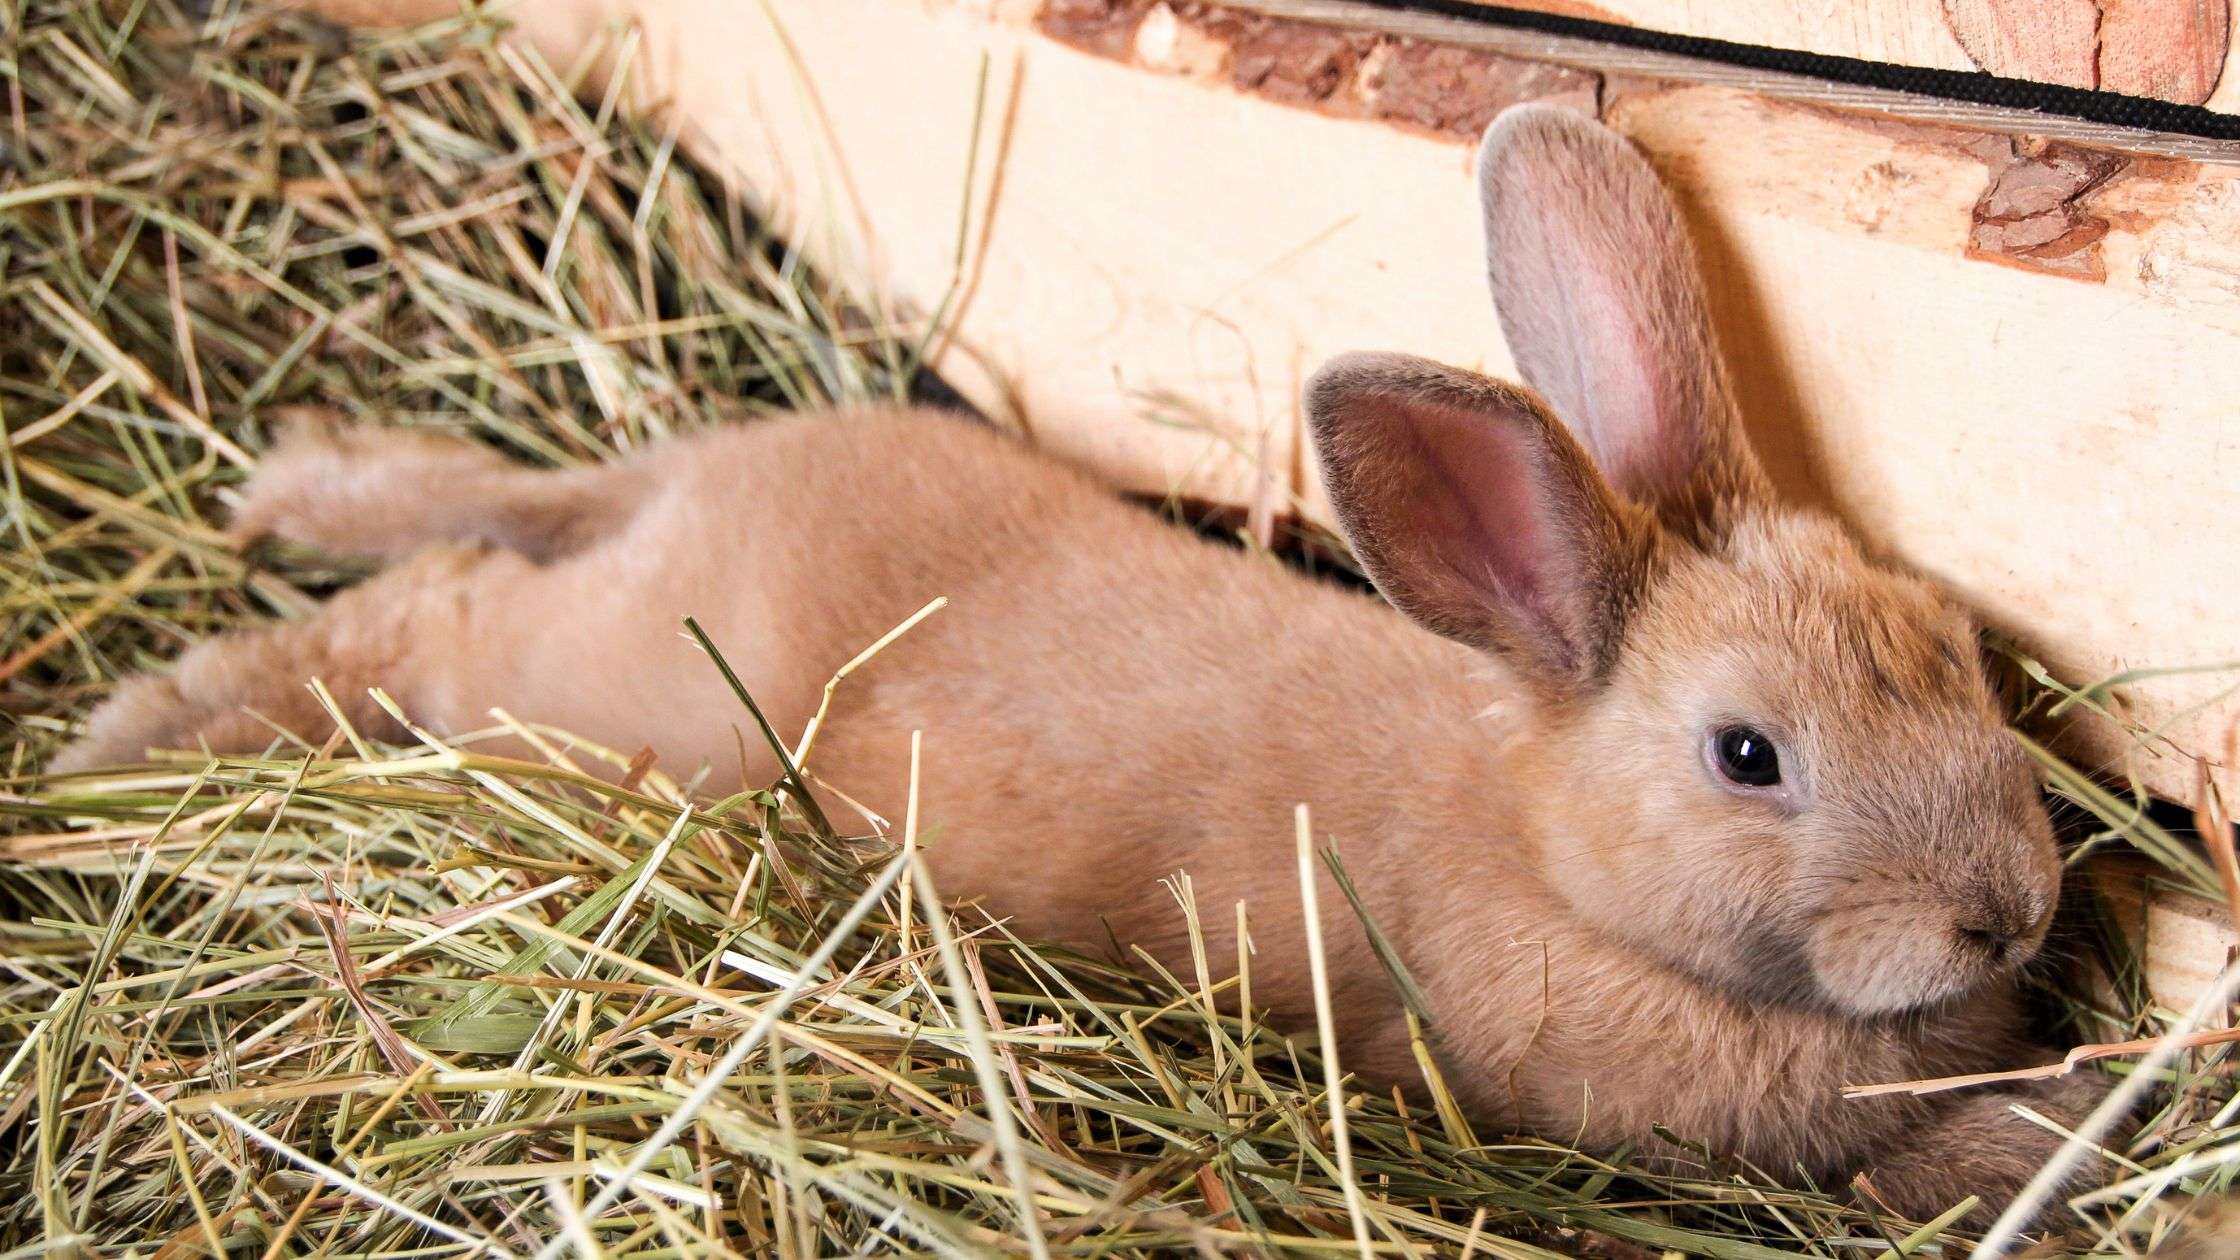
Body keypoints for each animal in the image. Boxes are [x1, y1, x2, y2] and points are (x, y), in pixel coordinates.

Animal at [61, 107, 2105, 1228]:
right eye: (1748, 758)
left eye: (1950, 652)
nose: (2004, 914)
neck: (1558, 863)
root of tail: (688, 490)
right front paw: (2053, 1134)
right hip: (586, 696)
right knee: (434, 609)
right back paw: (136, 726)